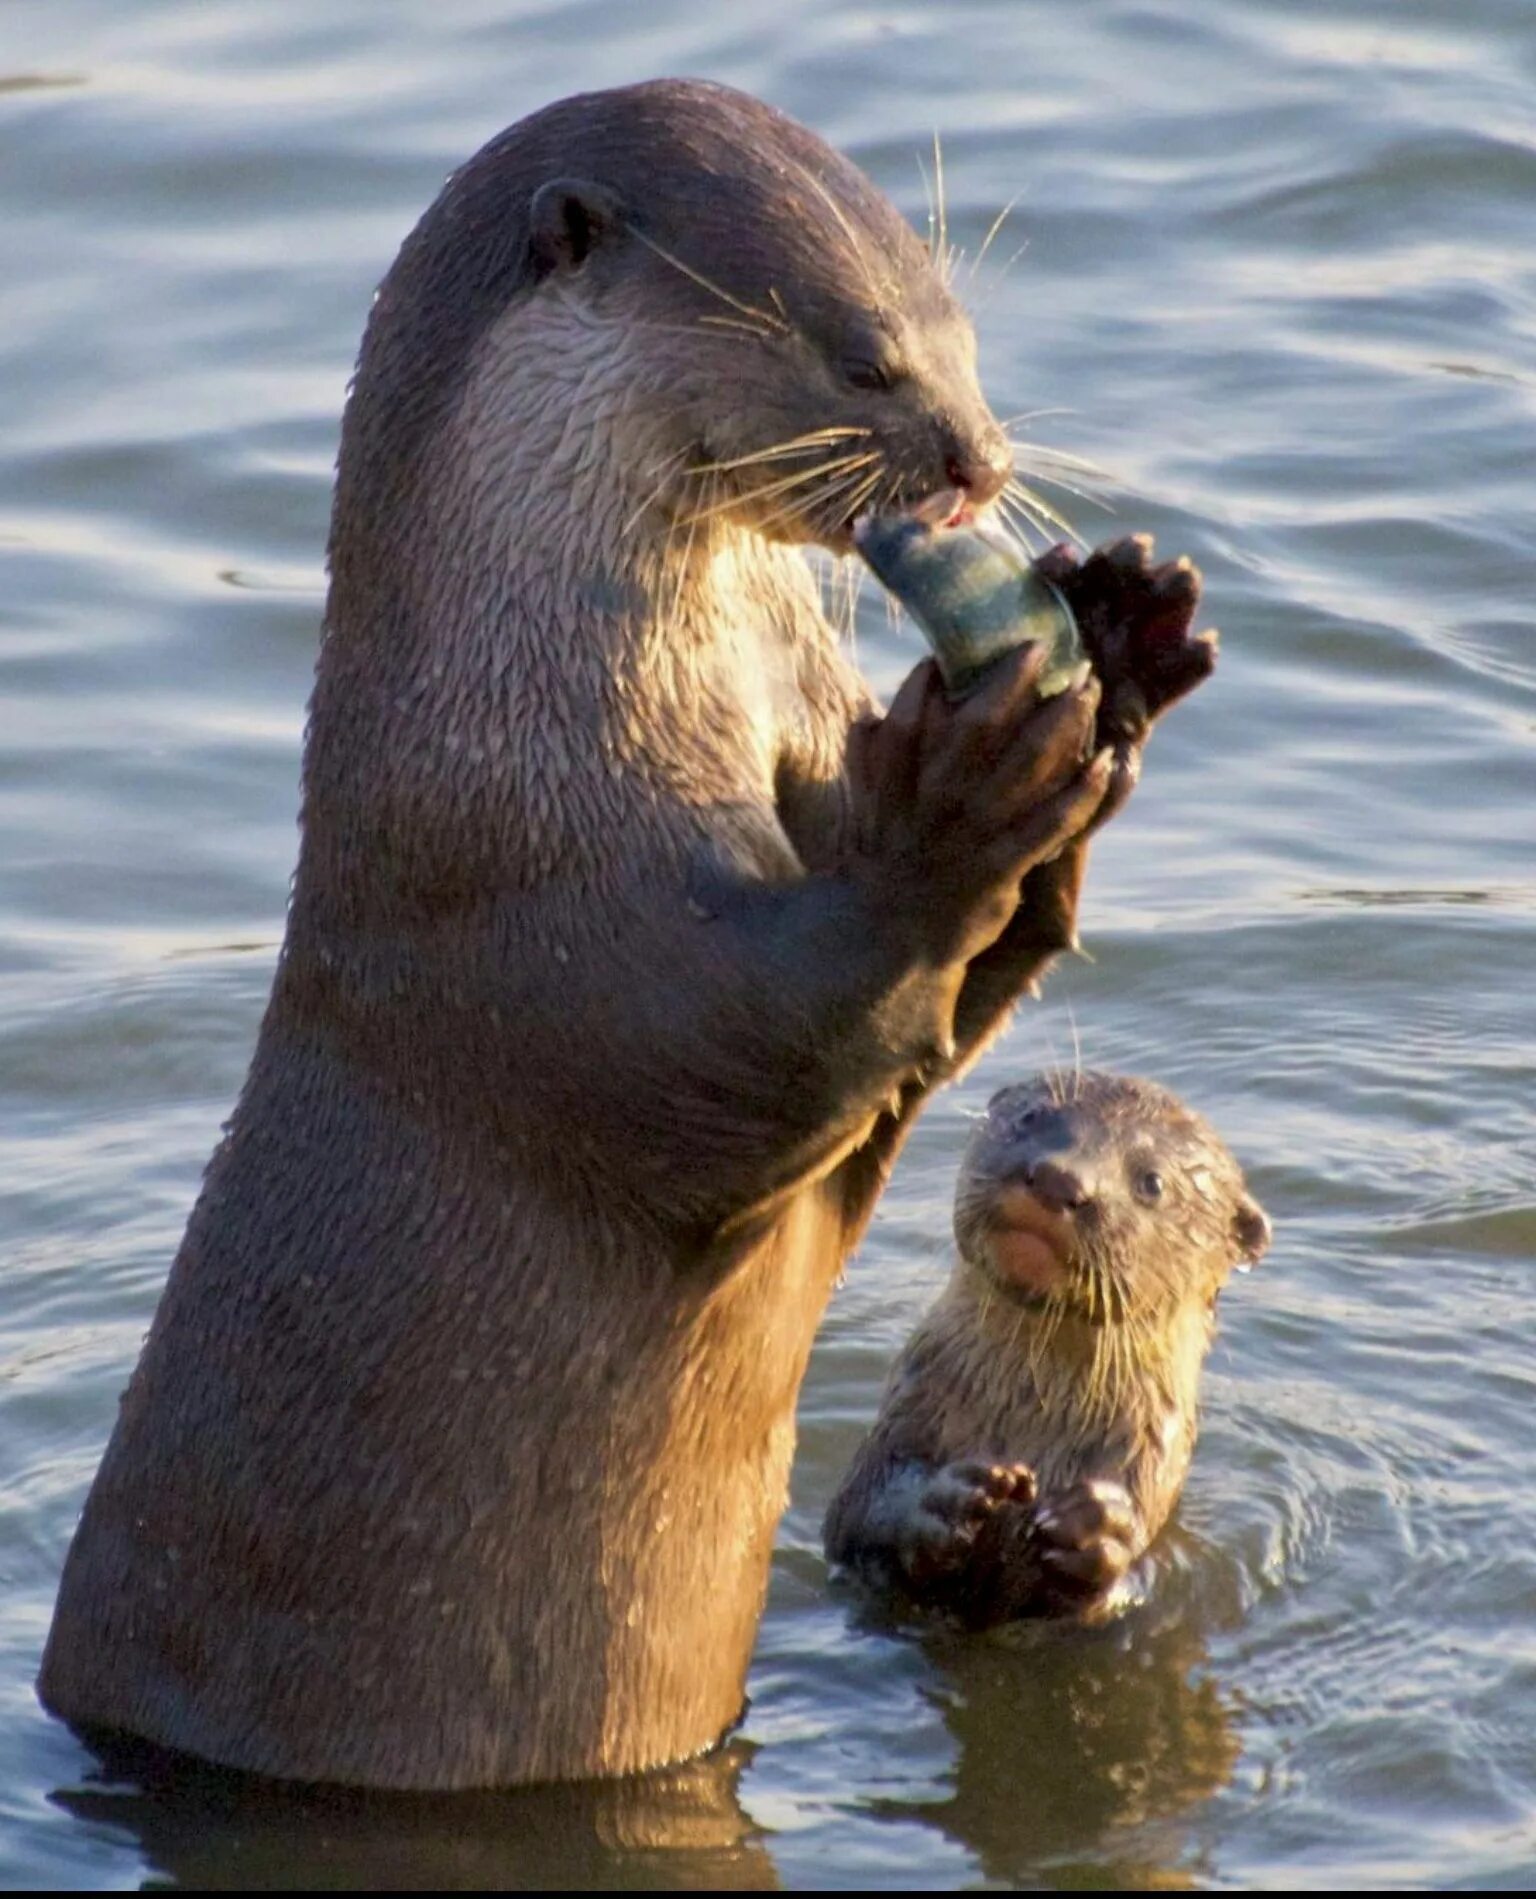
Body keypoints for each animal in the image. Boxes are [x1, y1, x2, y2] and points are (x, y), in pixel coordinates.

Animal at [32, 81, 1207, 1785]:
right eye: (865, 356)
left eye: (964, 333)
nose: (981, 460)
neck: (526, 731)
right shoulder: (536, 932)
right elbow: (745, 1040)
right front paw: (961, 788)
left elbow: (949, 1006)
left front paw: (1116, 629)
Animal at [827, 1078, 1268, 1625]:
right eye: (1031, 1118)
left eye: (1151, 1182)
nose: (1061, 1178)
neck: (1028, 1422)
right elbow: (856, 1513)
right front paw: (945, 1501)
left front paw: (1096, 1528)